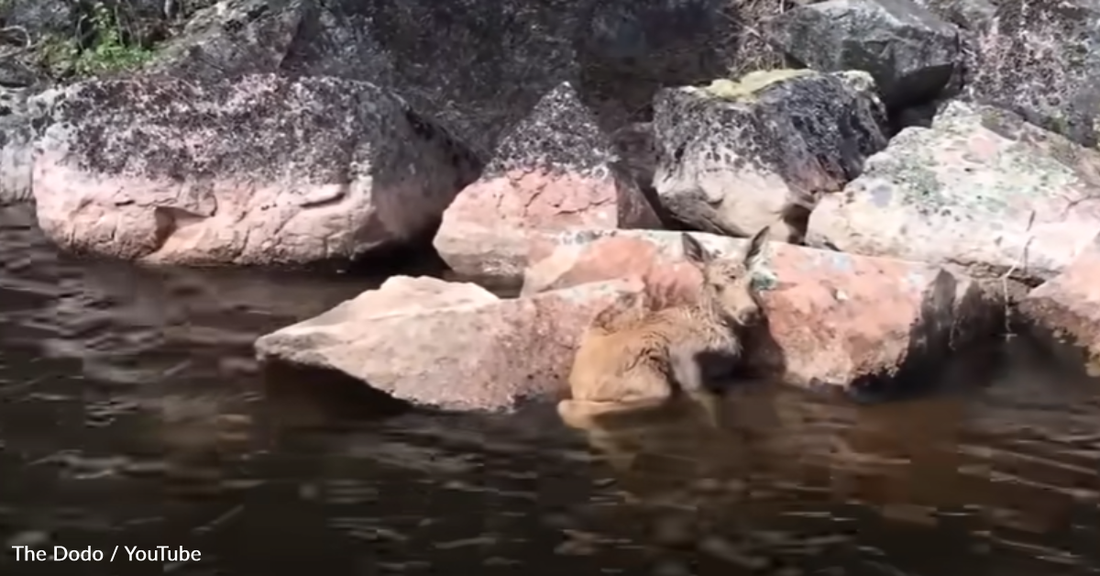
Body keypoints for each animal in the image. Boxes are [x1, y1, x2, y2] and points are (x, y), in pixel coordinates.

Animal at [558, 226, 771, 432]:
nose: (750, 313)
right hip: (650, 381)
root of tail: (578, 384)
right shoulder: (689, 366)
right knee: (570, 408)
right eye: (717, 286)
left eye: (752, 282)